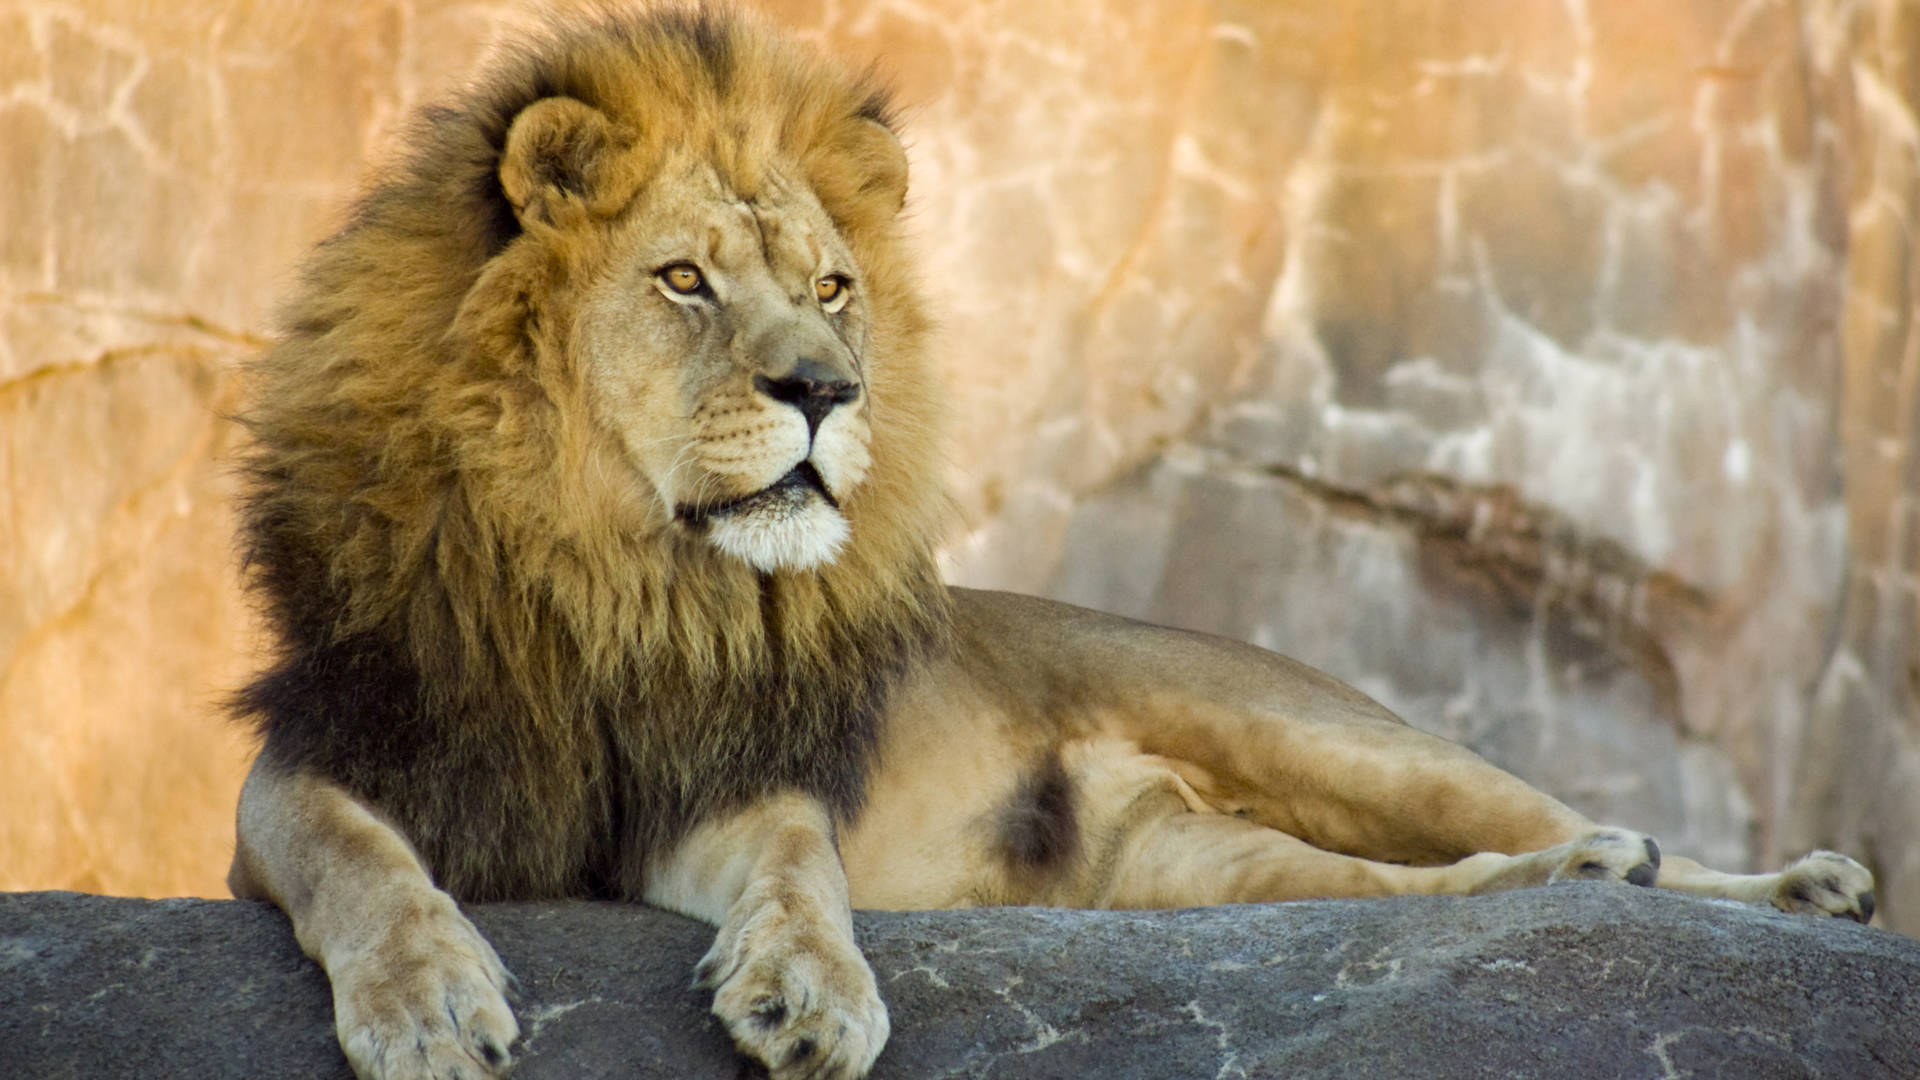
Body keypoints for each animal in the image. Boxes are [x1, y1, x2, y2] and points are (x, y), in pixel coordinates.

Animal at [224, 8, 1873, 1076]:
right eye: (685, 279)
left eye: (832, 288)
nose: (828, 389)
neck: (628, 575)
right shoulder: (328, 760)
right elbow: (354, 858)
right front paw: (430, 1004)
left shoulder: (735, 779)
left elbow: (798, 868)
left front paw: (812, 992)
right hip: (1191, 876)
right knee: (1408, 893)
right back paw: (1592, 881)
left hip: (1328, 736)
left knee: (1528, 820)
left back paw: (1764, 883)